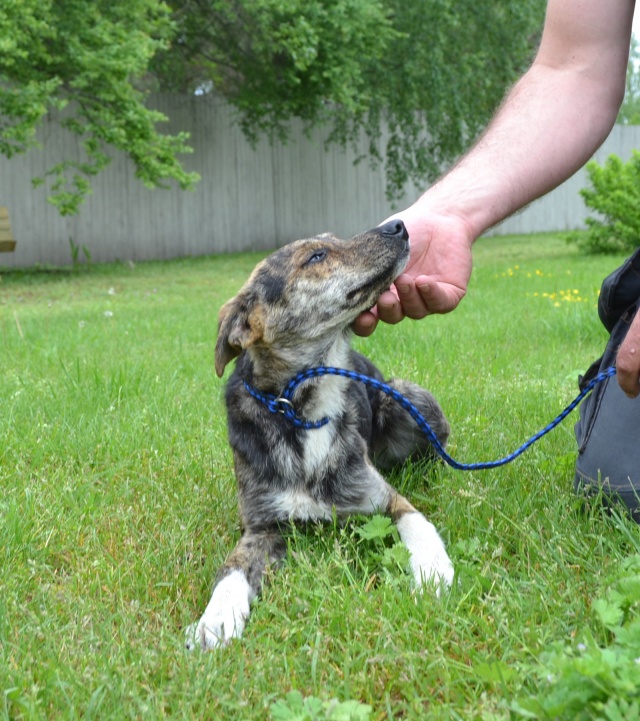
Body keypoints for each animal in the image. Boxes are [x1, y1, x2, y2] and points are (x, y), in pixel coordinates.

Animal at [185, 220, 453, 650]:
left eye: (331, 242)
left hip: (407, 401)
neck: (301, 413)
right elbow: (231, 569)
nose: (397, 225)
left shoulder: (385, 499)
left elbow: (418, 523)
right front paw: (216, 619)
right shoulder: (261, 526)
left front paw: (432, 570)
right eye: (315, 256)